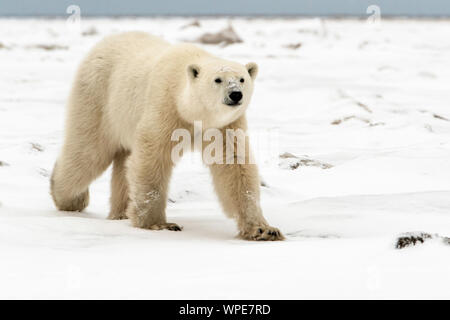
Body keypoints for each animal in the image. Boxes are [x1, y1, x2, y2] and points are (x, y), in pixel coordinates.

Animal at [49, 31, 282, 240]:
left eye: (242, 79)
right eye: (218, 80)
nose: (235, 94)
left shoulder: (224, 125)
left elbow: (233, 165)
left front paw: (264, 230)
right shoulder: (166, 107)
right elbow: (153, 157)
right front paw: (159, 224)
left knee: (122, 162)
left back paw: (121, 213)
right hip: (98, 98)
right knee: (88, 152)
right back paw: (70, 198)